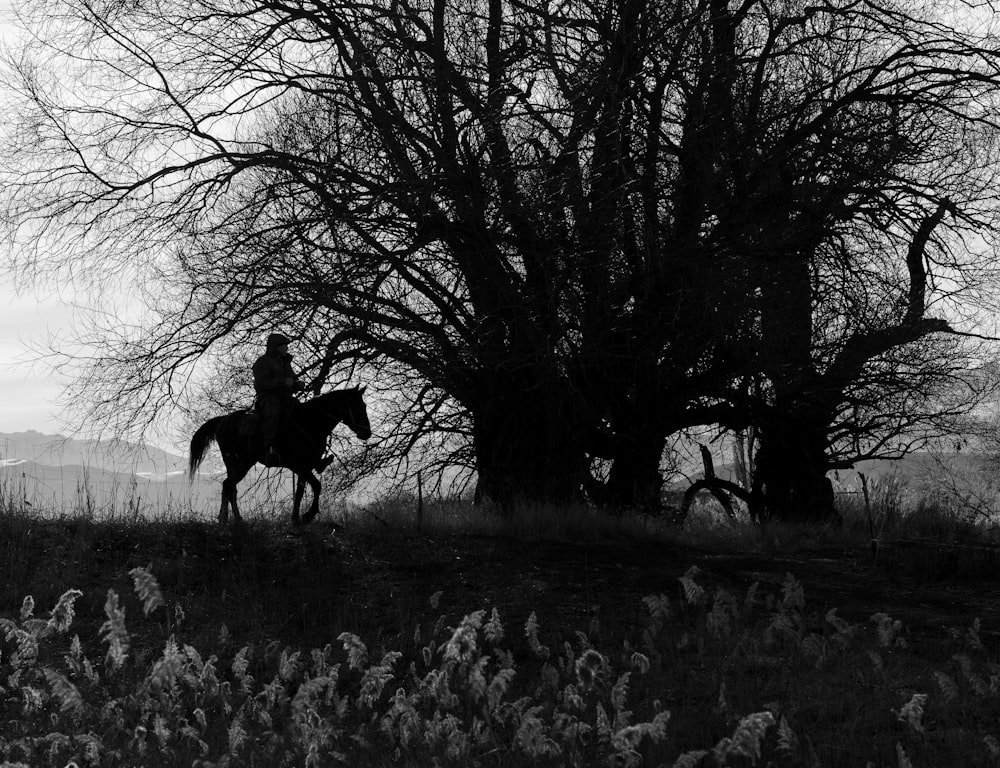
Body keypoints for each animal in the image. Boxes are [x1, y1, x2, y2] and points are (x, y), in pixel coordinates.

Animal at [188, 388, 372, 524]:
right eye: (357, 406)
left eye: (364, 405)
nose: (367, 433)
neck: (310, 422)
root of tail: (222, 421)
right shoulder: (297, 464)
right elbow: (317, 485)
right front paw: (308, 515)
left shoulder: (306, 466)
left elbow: (300, 491)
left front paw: (296, 518)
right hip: (236, 462)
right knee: (230, 486)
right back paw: (236, 518)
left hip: (243, 464)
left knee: (227, 485)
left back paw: (225, 519)